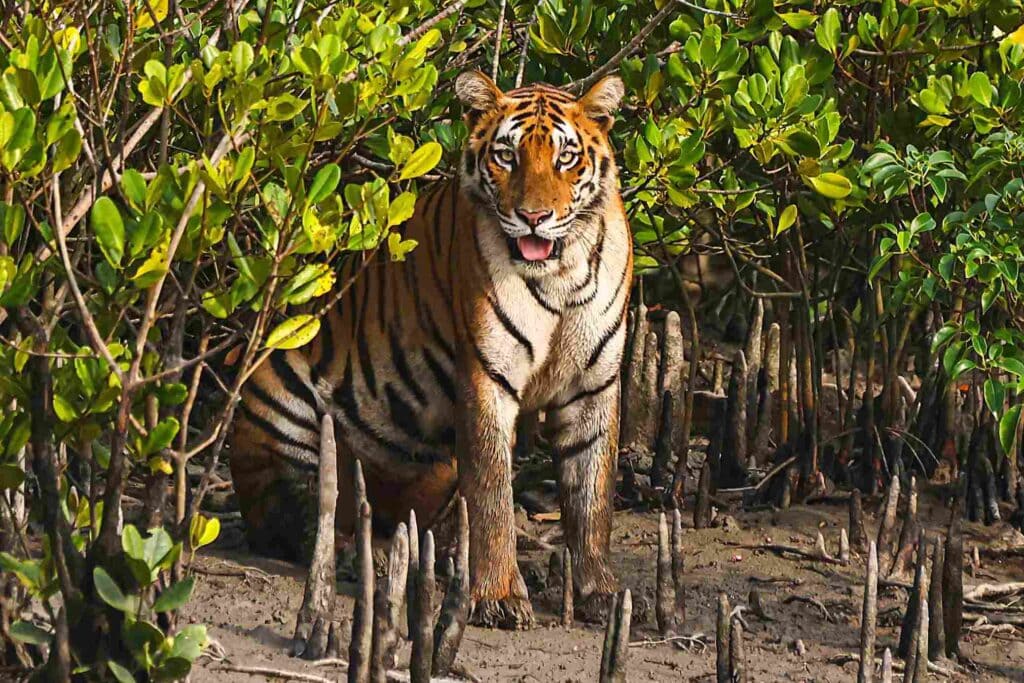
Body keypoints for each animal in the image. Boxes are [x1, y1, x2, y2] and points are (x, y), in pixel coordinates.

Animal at [228, 70, 632, 629]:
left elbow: (592, 496)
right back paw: (365, 555)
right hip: (280, 389)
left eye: (566, 158)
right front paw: (499, 596)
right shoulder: (487, 377)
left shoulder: (594, 384)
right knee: (298, 516)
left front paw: (601, 592)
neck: (560, 272)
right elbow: (492, 495)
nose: (533, 217)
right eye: (506, 156)